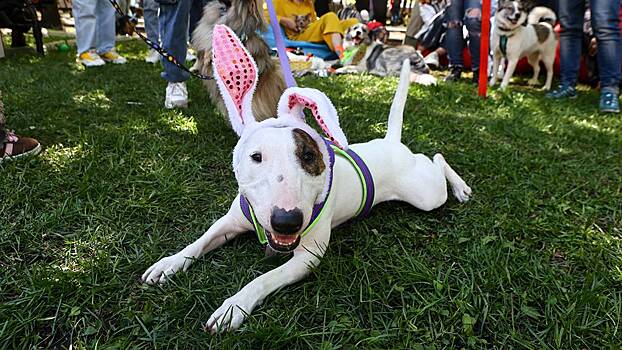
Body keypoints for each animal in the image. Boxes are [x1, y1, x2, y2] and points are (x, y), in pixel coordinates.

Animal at [143, 25, 472, 334]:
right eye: (256, 157)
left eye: (309, 156)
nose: (286, 222)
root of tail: (391, 141)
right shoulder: (230, 222)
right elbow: (198, 243)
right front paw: (168, 264)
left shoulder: (305, 258)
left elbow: (263, 279)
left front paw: (233, 307)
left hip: (426, 194)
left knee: (438, 157)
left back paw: (461, 188)